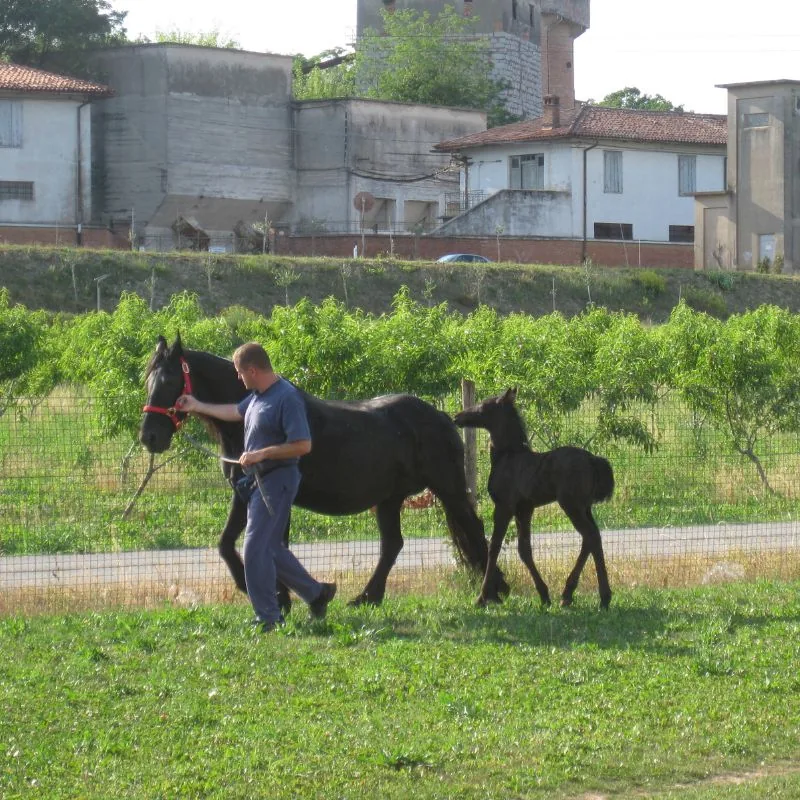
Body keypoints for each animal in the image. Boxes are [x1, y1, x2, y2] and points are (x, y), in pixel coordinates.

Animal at [139, 335, 509, 611]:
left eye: (169, 380)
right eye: (147, 381)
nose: (149, 437)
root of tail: (442, 417)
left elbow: (269, 545)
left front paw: (278, 597)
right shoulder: (245, 492)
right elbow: (227, 544)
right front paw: (264, 591)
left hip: (448, 488)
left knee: (474, 530)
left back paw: (494, 591)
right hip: (390, 499)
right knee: (393, 544)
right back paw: (367, 597)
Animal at [454, 388, 615, 609]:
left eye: (483, 405)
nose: (457, 417)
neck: (507, 457)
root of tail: (592, 460)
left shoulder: (504, 506)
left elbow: (494, 547)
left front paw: (482, 597)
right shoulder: (525, 508)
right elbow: (524, 549)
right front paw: (544, 595)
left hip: (571, 505)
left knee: (590, 535)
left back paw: (594, 596)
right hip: (585, 507)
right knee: (592, 538)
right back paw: (575, 594)